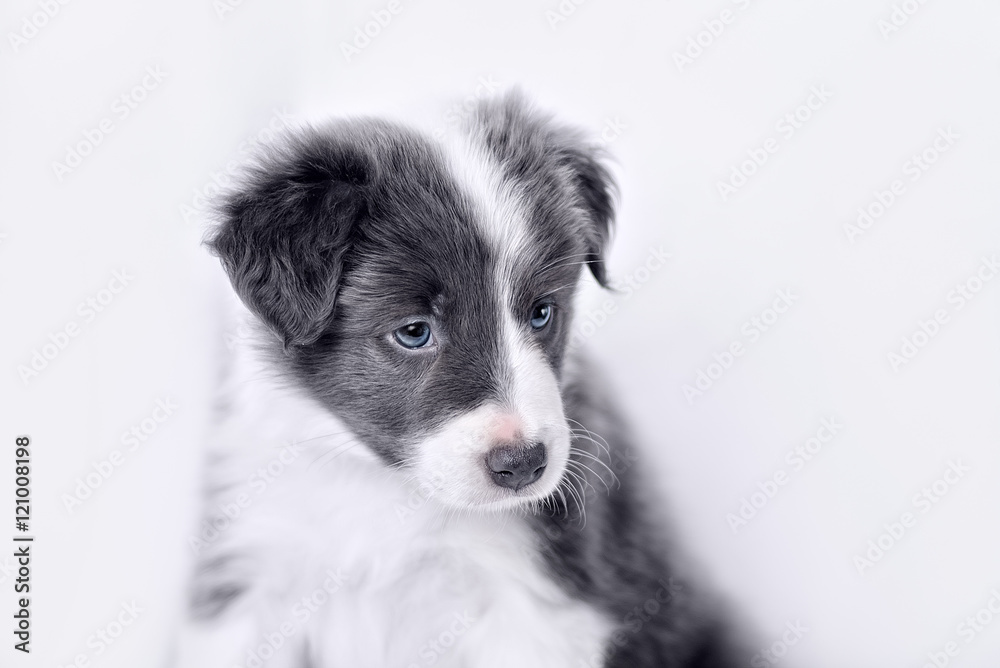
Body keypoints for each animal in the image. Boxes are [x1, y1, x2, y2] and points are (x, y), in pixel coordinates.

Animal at [180, 90, 748, 668]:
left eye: (542, 312)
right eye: (414, 332)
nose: (523, 465)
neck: (384, 490)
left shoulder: (533, 607)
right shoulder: (252, 576)